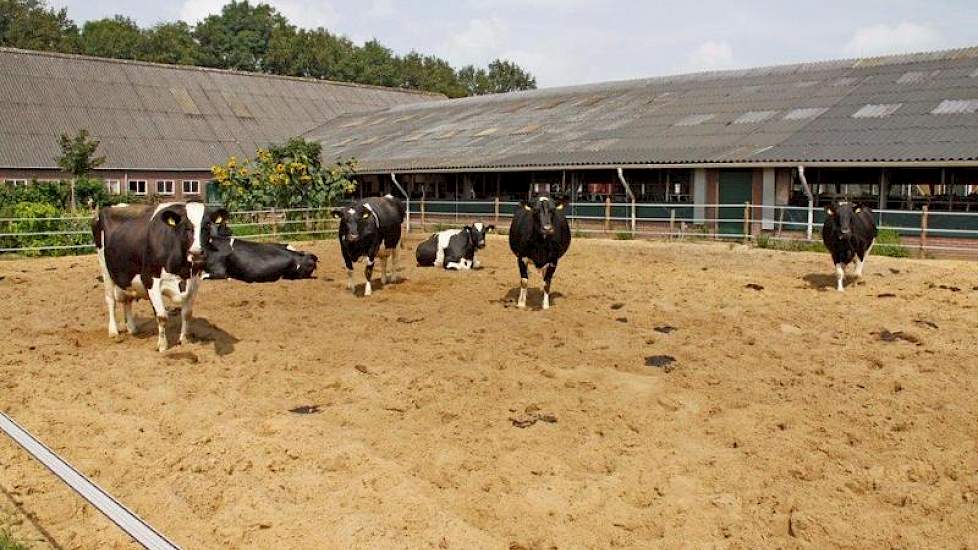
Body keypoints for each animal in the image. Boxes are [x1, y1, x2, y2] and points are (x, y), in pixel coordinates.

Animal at [91, 203, 229, 354]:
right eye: (185, 227)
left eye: (207, 225)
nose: (196, 253)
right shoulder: (151, 281)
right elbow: (162, 316)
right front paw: (162, 346)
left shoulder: (194, 282)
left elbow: (187, 314)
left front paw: (184, 340)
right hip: (105, 269)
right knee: (111, 300)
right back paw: (114, 331)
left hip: (127, 277)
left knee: (127, 300)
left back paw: (132, 328)